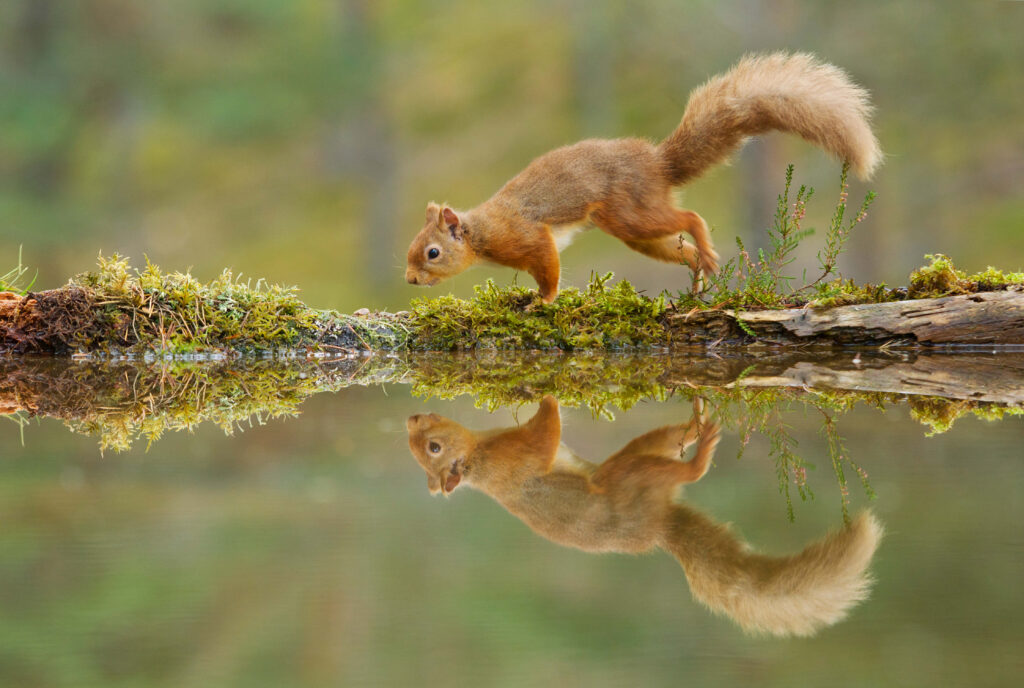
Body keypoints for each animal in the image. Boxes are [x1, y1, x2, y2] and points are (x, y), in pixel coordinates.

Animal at [405, 52, 881, 303]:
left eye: (432, 253)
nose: (409, 280)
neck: (482, 232)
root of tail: (657, 163)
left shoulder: (528, 237)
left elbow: (549, 270)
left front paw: (541, 301)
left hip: (629, 213)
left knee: (691, 218)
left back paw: (704, 251)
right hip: (637, 232)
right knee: (684, 249)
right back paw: (697, 279)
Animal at [406, 396, 883, 636]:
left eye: (430, 447)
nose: (412, 418)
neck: (480, 460)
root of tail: (659, 530)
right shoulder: (519, 458)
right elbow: (545, 435)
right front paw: (546, 394)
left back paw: (695, 425)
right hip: (629, 477)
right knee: (685, 471)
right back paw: (704, 446)